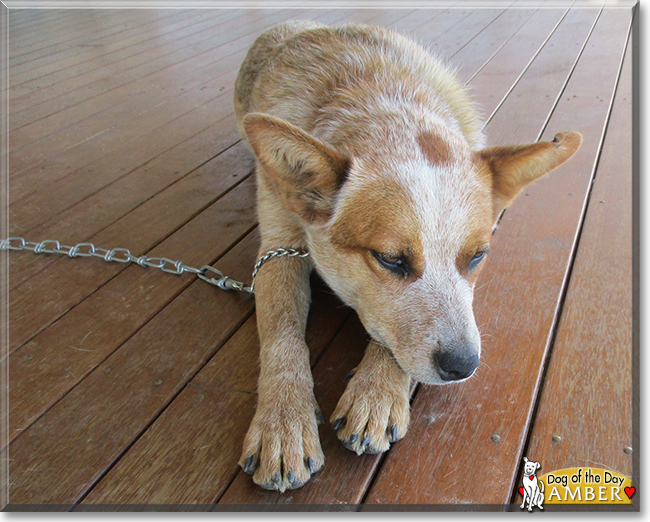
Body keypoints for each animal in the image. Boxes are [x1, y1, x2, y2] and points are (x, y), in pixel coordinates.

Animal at [233, 21, 584, 492]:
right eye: (390, 259)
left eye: (478, 256)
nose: (463, 365)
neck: (376, 93)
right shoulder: (277, 247)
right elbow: (281, 334)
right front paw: (282, 422)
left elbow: (387, 333)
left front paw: (377, 391)